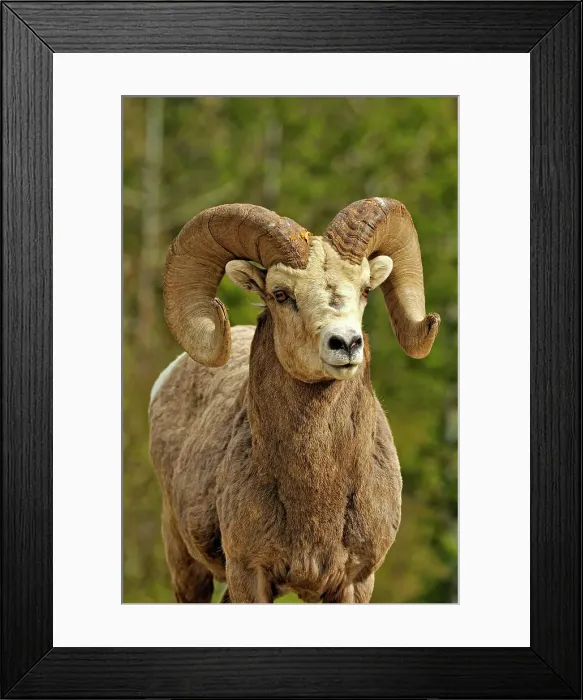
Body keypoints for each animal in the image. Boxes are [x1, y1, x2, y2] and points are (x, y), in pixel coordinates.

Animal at [149, 198, 440, 603]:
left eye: (365, 289)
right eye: (281, 294)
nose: (346, 343)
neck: (316, 496)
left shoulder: (355, 582)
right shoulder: (249, 574)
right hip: (185, 563)